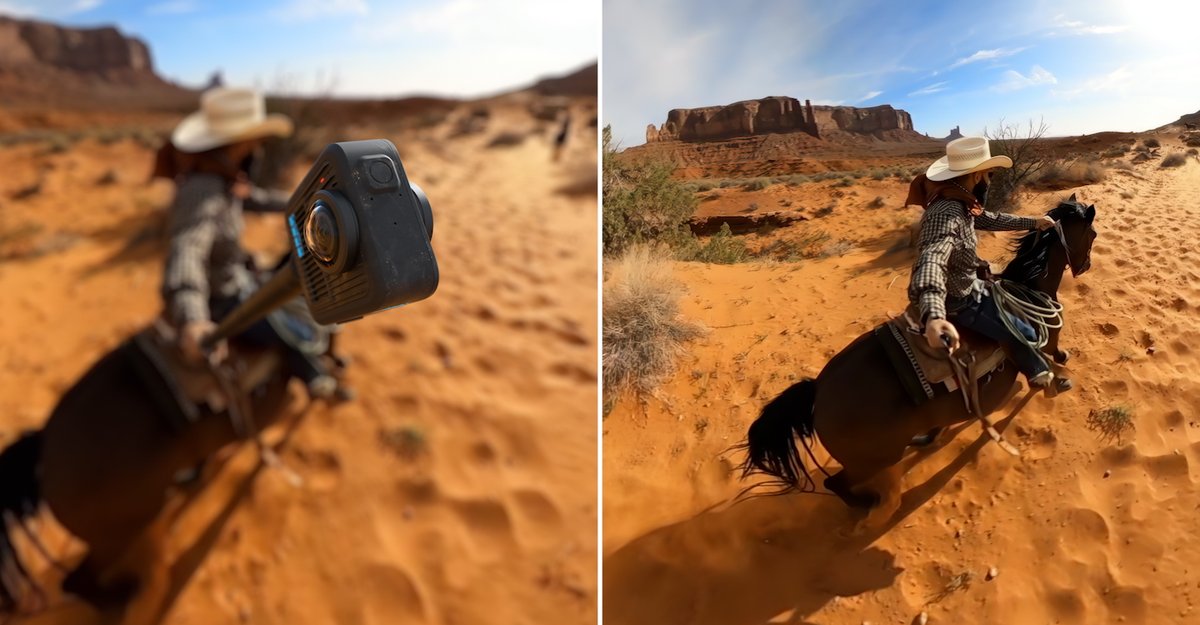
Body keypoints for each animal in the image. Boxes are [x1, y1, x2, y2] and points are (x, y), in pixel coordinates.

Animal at [740, 196, 1097, 530]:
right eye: (1092, 234)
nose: (1085, 266)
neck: (1029, 289)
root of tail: (817, 391)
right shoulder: (1043, 342)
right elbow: (1051, 358)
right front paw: (1056, 379)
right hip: (868, 461)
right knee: (836, 483)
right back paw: (870, 507)